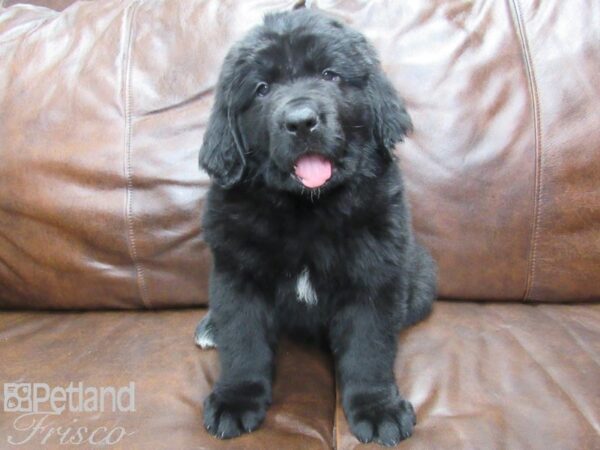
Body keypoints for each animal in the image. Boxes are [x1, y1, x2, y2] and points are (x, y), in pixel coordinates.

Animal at [197, 7, 436, 446]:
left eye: (330, 74)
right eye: (262, 88)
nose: (301, 121)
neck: (307, 209)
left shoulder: (373, 277)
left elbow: (368, 347)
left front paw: (377, 408)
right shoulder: (236, 273)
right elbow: (243, 340)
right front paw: (236, 399)